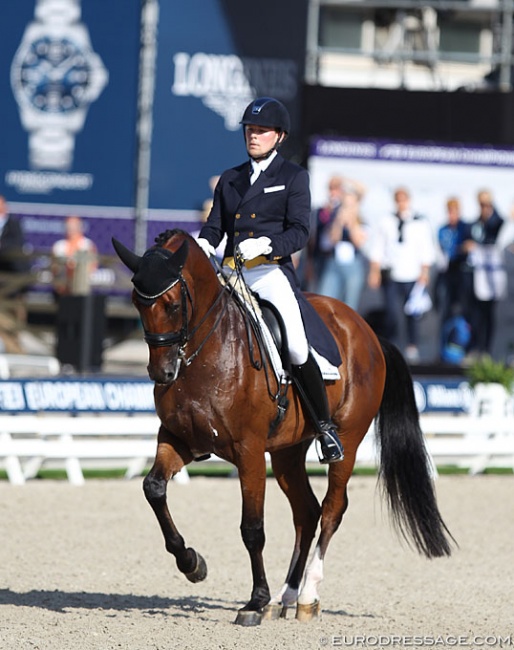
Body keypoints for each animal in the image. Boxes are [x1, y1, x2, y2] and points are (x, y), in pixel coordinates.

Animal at [113, 228, 452, 624]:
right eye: (137, 303)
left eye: (172, 305)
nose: (162, 373)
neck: (207, 354)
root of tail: (367, 330)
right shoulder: (179, 439)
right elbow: (153, 489)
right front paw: (193, 564)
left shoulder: (248, 451)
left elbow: (252, 529)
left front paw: (254, 602)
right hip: (287, 452)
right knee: (307, 512)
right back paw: (285, 596)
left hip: (348, 441)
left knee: (332, 509)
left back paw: (306, 595)